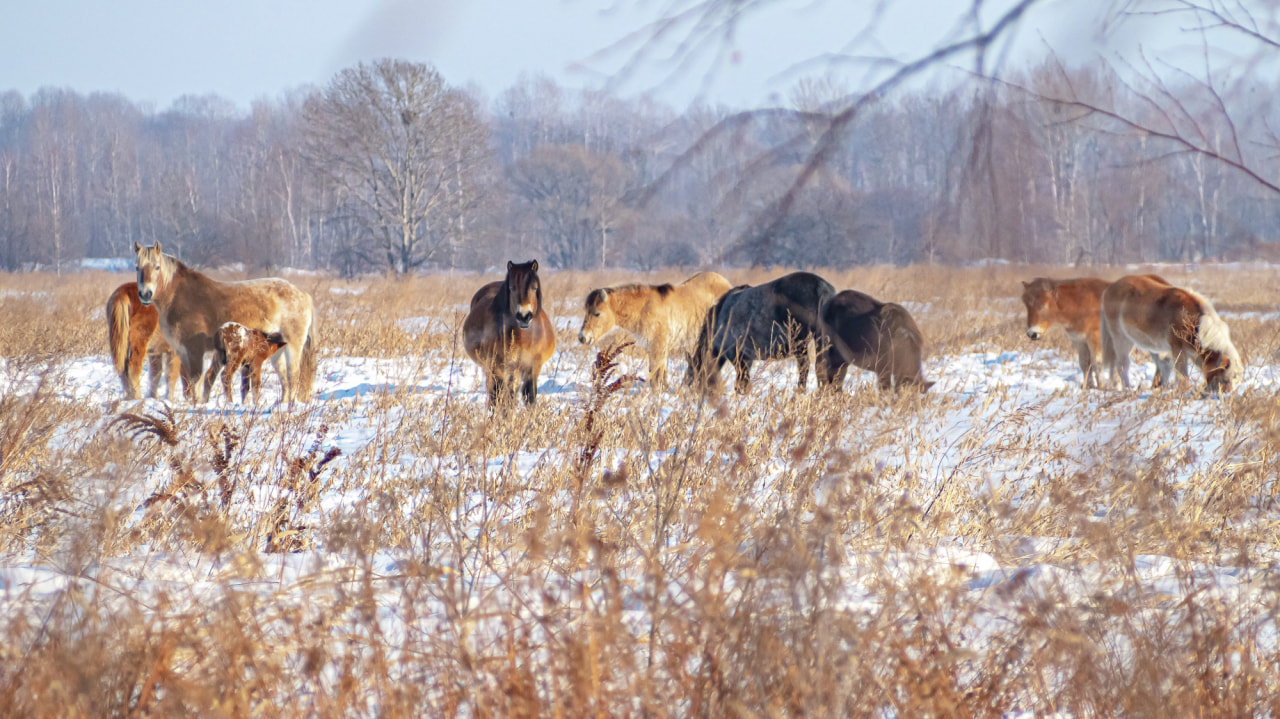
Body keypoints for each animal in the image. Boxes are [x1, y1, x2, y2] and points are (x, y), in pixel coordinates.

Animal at [132, 241, 317, 404]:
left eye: (157, 267)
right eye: (137, 267)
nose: (145, 294)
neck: (180, 297)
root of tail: (303, 295)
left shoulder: (194, 350)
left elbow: (196, 381)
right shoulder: (181, 351)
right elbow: (189, 383)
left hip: (293, 346)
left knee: (293, 377)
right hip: (277, 351)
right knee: (285, 379)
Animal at [463, 258, 558, 406]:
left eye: (534, 287)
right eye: (512, 288)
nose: (524, 316)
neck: (524, 339)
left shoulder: (533, 368)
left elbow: (530, 397)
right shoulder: (501, 368)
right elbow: (504, 399)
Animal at [578, 269, 732, 386]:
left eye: (597, 313)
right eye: (585, 311)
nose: (582, 337)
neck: (643, 308)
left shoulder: (658, 348)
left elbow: (656, 378)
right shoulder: (654, 348)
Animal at [686, 268, 834, 391]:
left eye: (694, 371)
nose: (692, 390)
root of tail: (821, 288)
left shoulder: (738, 356)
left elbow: (742, 381)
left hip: (800, 343)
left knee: (804, 366)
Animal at [1100, 272, 1239, 391]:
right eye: (1225, 378)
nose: (1226, 393)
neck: (1191, 321)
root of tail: (1110, 287)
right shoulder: (1177, 349)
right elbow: (1182, 375)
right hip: (1122, 338)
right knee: (1122, 364)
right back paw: (1127, 388)